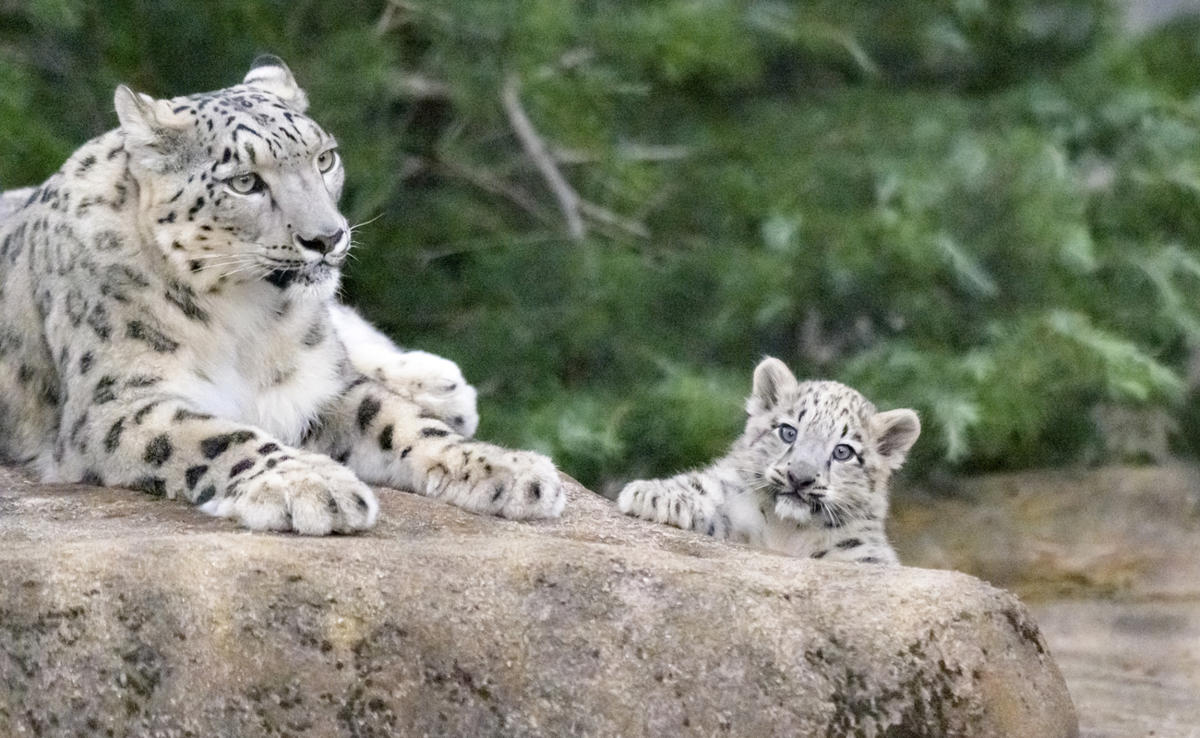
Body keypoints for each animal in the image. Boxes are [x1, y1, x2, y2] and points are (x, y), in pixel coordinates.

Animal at [0, 55, 564, 534]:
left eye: (325, 159)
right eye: (245, 182)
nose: (327, 237)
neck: (245, 323)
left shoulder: (322, 387)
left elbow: (398, 422)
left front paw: (513, 470)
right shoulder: (119, 404)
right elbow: (218, 436)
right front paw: (313, 486)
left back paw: (439, 386)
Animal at [617, 357, 920, 564]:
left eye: (842, 452)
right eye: (788, 431)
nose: (800, 478)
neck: (786, 531)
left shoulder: (862, 550)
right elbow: (706, 486)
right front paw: (654, 496)